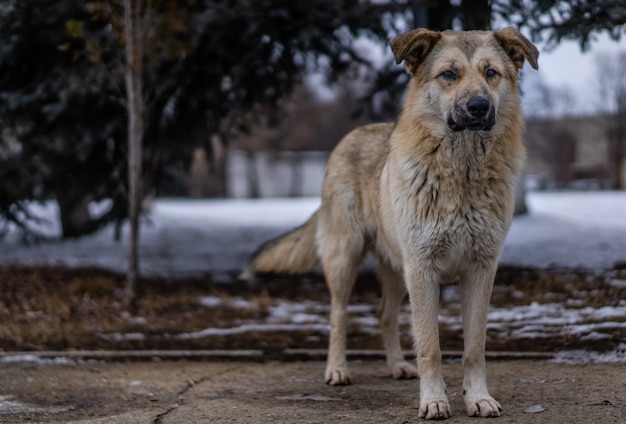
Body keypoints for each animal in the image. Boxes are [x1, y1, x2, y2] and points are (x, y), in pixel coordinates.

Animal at [243, 28, 536, 420]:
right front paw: (434, 400)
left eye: (491, 73)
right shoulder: (422, 268)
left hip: (397, 269)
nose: (478, 107)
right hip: (346, 258)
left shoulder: (480, 269)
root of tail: (351, 136)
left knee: (385, 314)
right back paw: (337, 370)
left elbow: (474, 347)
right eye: (449, 74)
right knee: (338, 315)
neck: (463, 170)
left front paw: (477, 398)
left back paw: (397, 366)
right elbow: (430, 346)